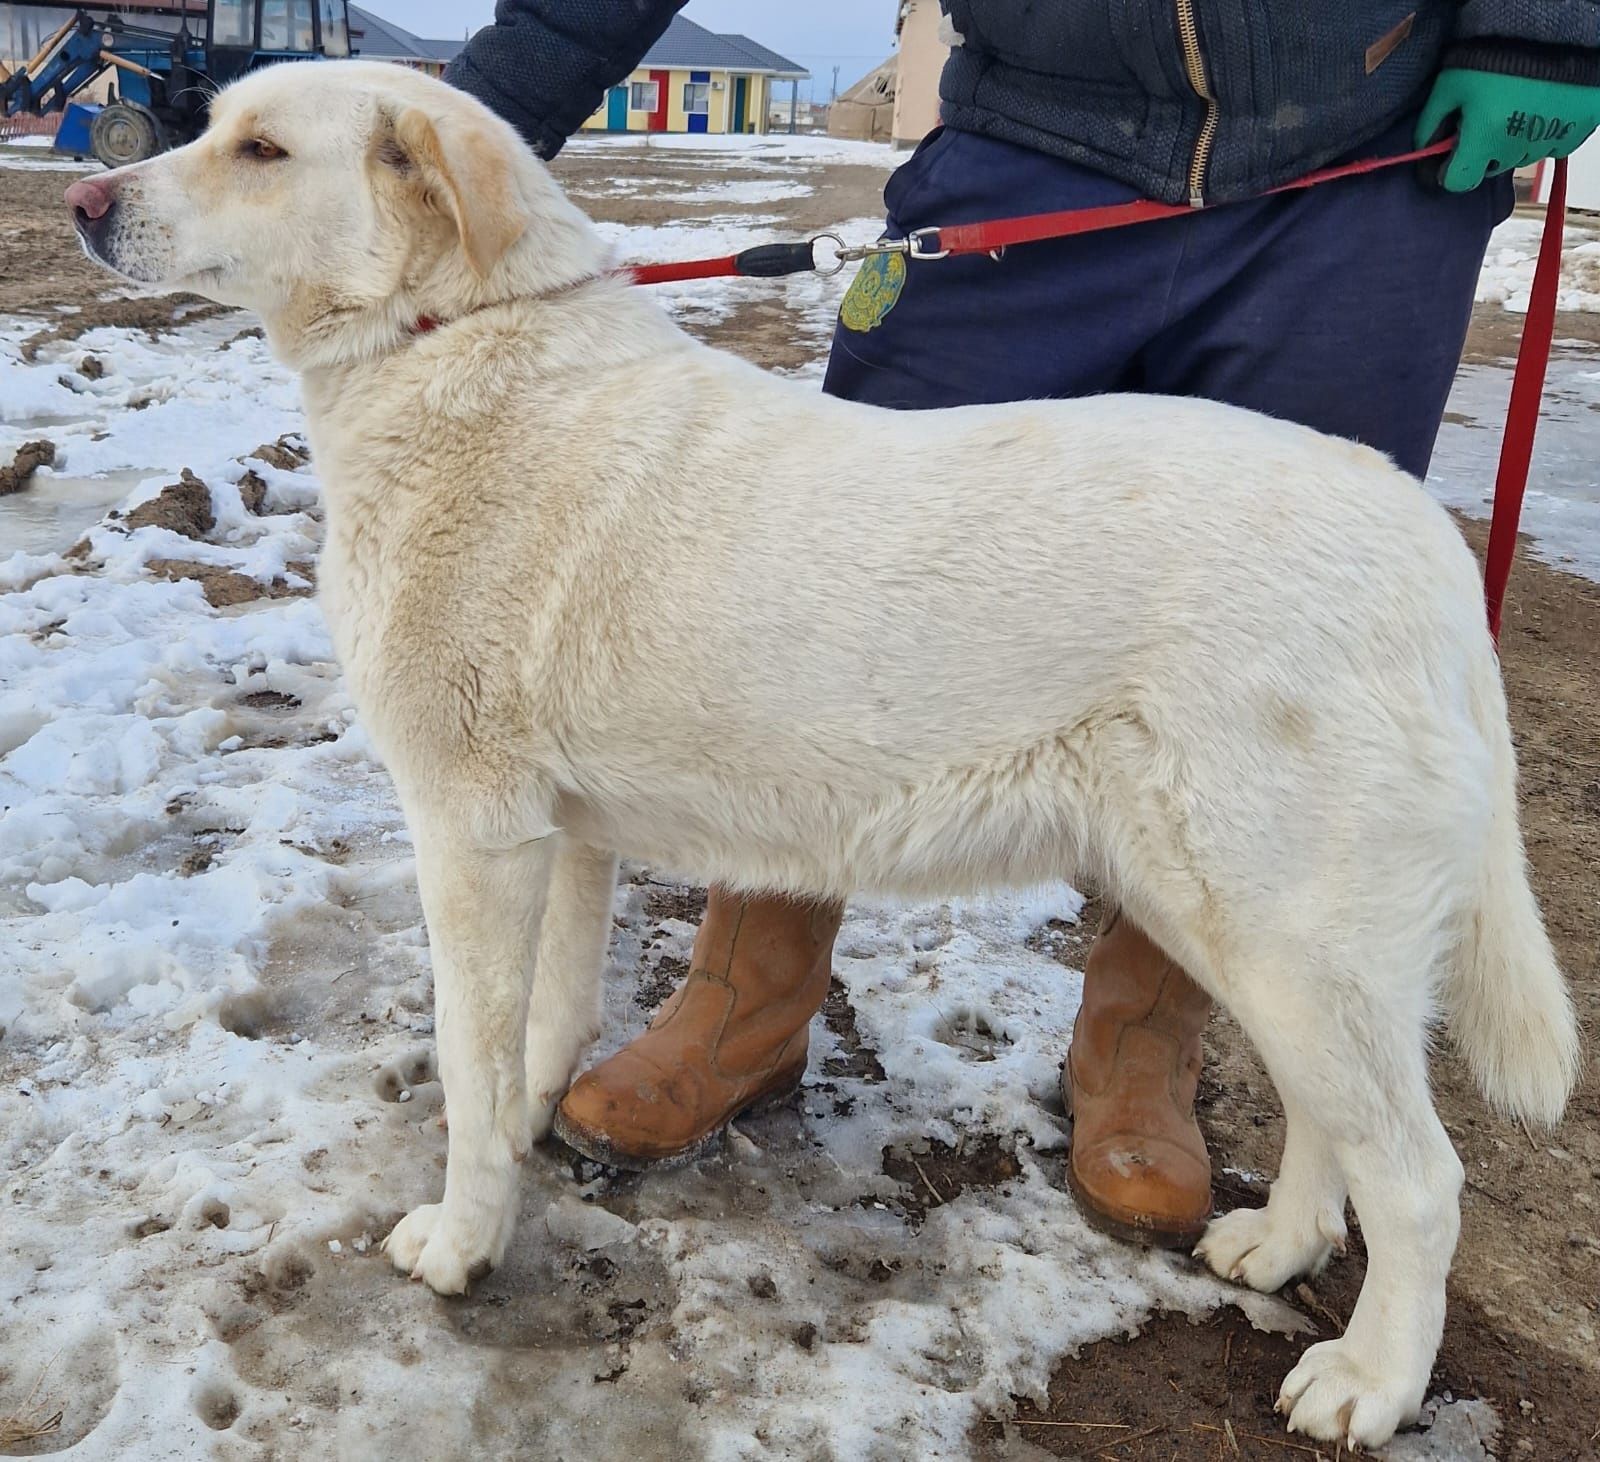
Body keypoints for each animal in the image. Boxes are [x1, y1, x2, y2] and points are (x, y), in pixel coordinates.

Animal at [68, 59, 1580, 1446]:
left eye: (261, 150)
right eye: (211, 125)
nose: (84, 199)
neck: (452, 345)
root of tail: (1421, 535)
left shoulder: (471, 831)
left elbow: (470, 1065)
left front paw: (462, 1240)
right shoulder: (559, 834)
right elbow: (542, 1033)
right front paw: (533, 1137)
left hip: (1284, 925)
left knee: (1422, 1179)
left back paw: (1370, 1381)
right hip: (1248, 925)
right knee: (1337, 1123)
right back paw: (1280, 1244)